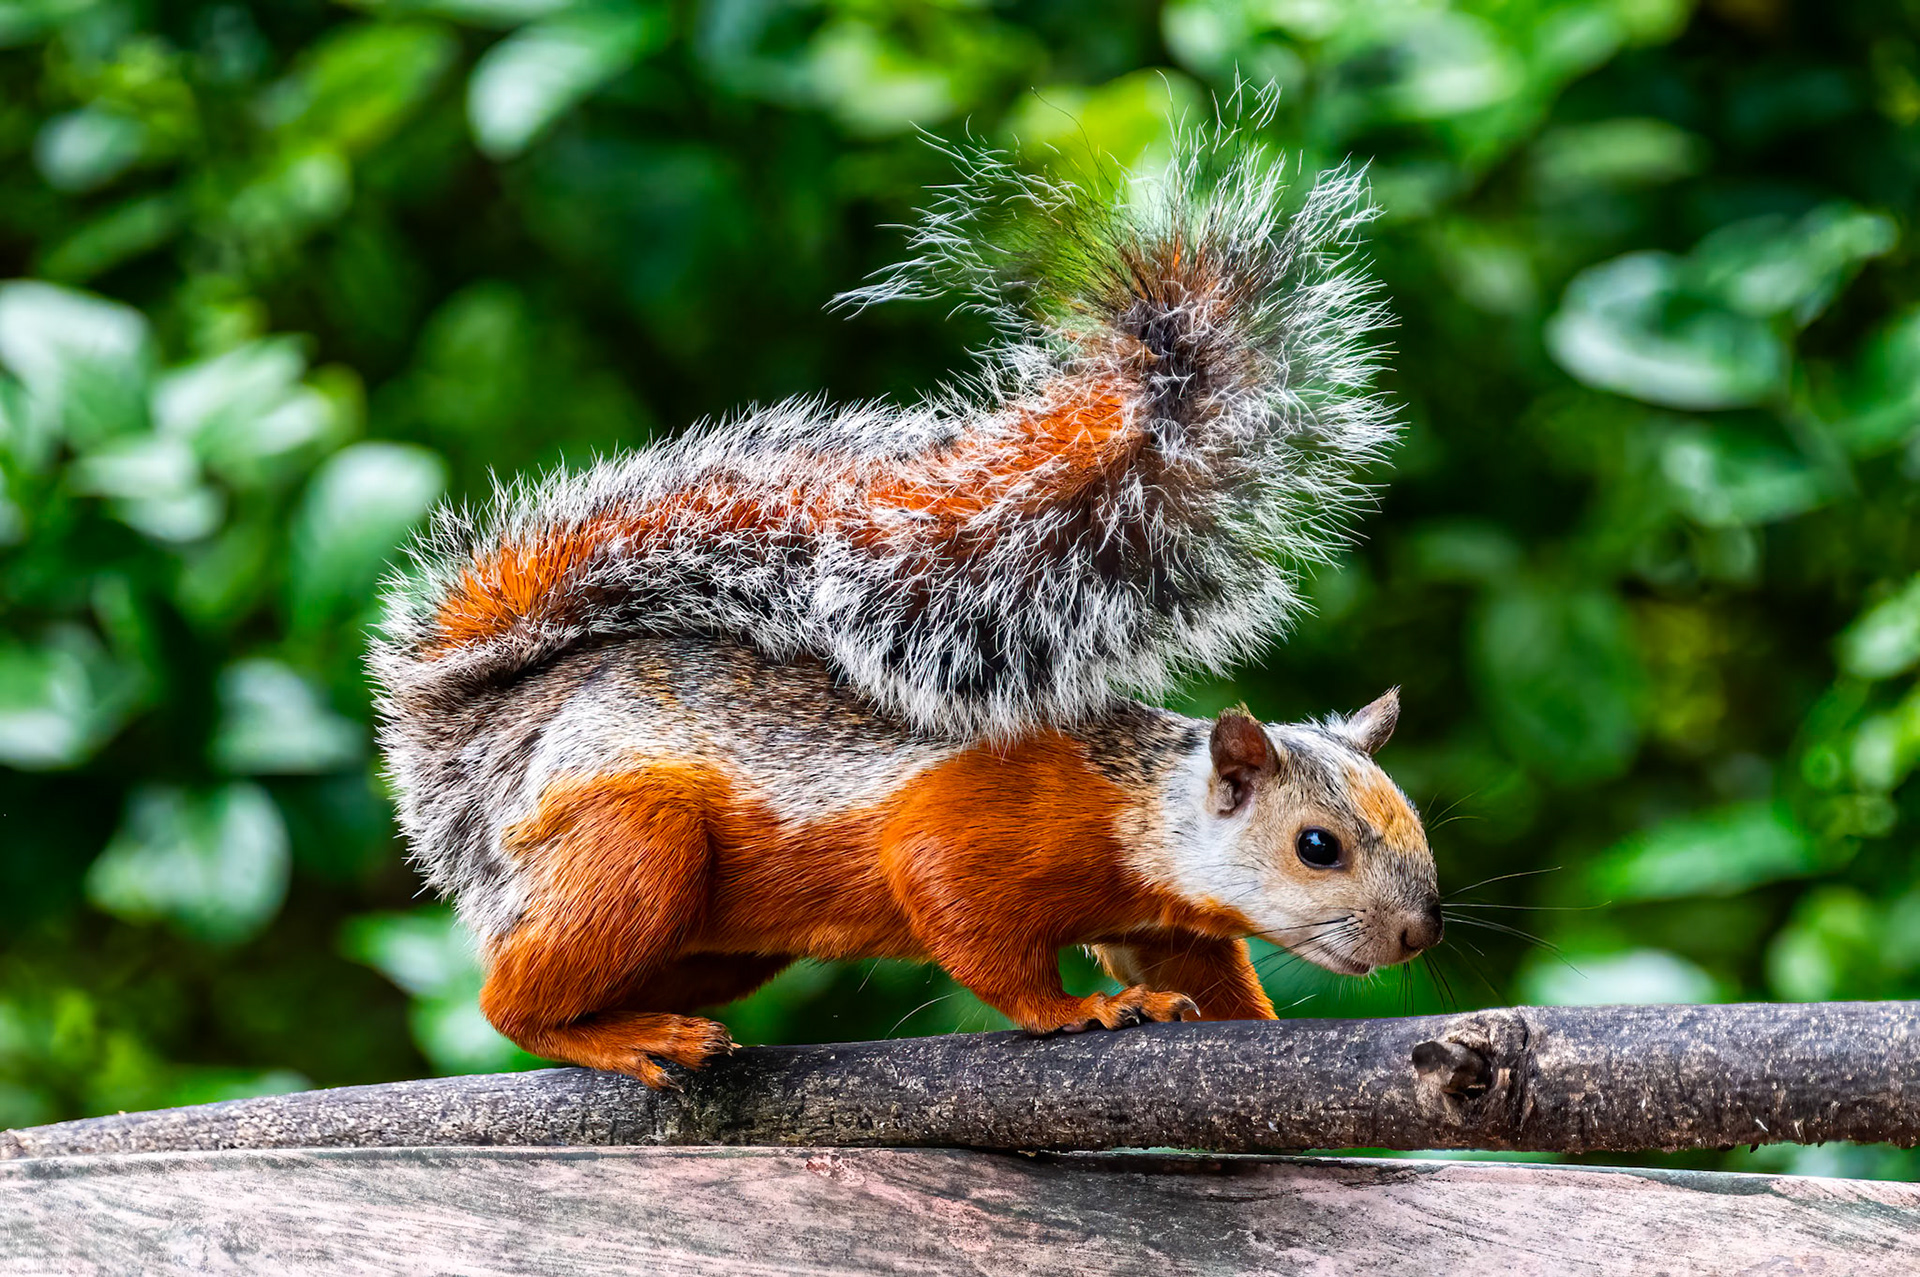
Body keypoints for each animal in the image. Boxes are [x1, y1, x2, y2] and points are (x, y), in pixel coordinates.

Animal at [371, 116, 1442, 1087]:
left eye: (1413, 818)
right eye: (1316, 846)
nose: (1418, 933)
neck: (1137, 801)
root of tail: (494, 754)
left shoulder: (1158, 915)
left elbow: (1202, 971)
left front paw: (1253, 1026)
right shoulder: (968, 833)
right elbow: (971, 929)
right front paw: (1080, 1010)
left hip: (717, 940)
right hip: (632, 848)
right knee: (511, 1002)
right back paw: (629, 1038)